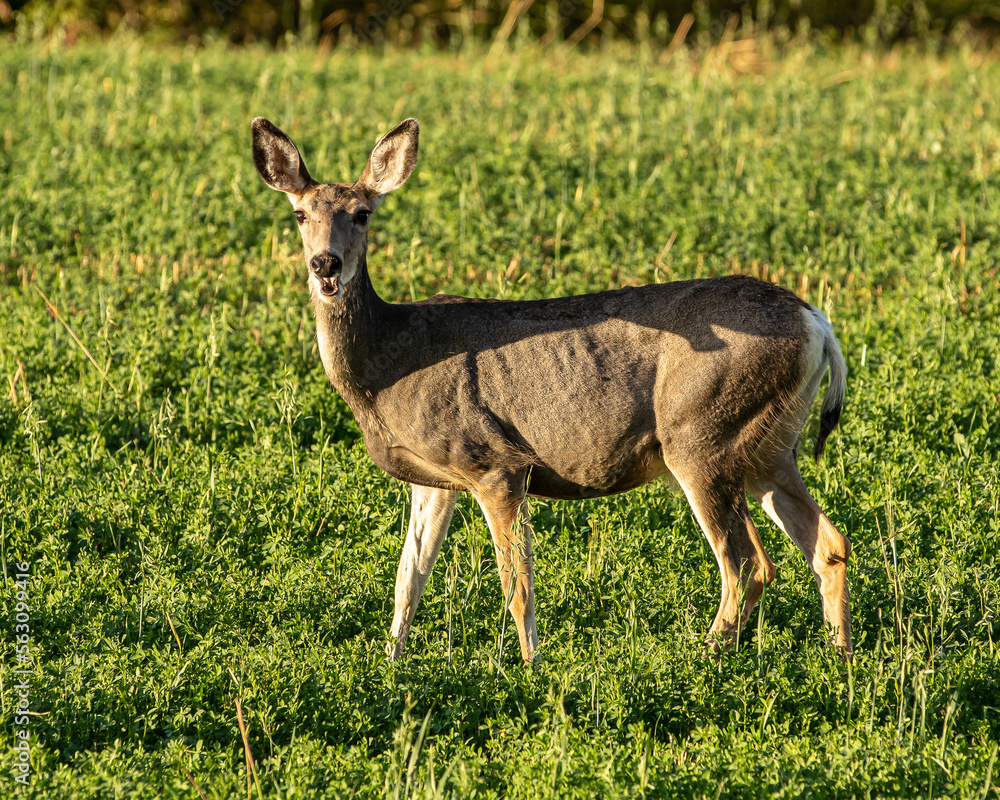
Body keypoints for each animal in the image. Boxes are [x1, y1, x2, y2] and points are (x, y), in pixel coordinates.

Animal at [250, 116, 853, 665]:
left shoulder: (496, 462)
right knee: (827, 543)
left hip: (702, 434)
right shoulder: (436, 476)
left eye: (362, 213)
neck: (387, 368)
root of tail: (816, 322)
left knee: (748, 563)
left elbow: (516, 583)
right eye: (299, 214)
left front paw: (529, 667)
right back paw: (839, 658)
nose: (324, 263)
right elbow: (408, 579)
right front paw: (390, 664)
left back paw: (703, 658)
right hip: (769, 444)